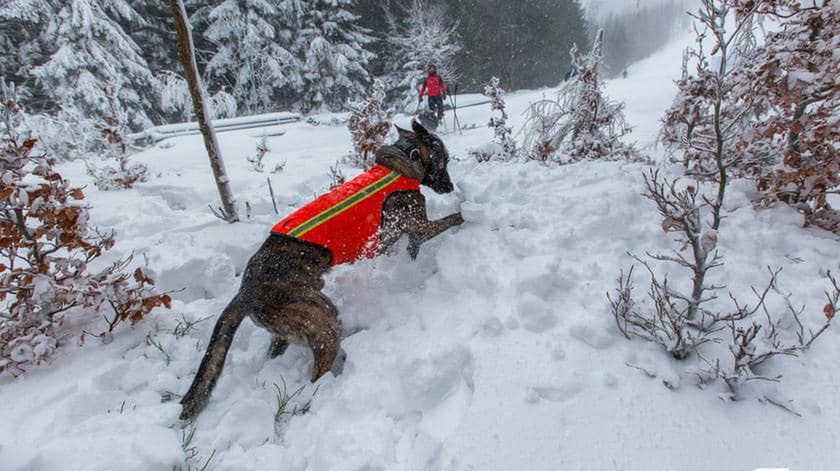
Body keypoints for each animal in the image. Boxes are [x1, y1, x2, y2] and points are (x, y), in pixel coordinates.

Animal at [180, 119, 462, 420]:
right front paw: (466, 214)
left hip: (288, 329)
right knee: (317, 372)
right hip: (323, 322)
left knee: (276, 352)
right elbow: (451, 220)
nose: (450, 187)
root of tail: (244, 292)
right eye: (444, 160)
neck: (406, 160)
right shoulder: (418, 227)